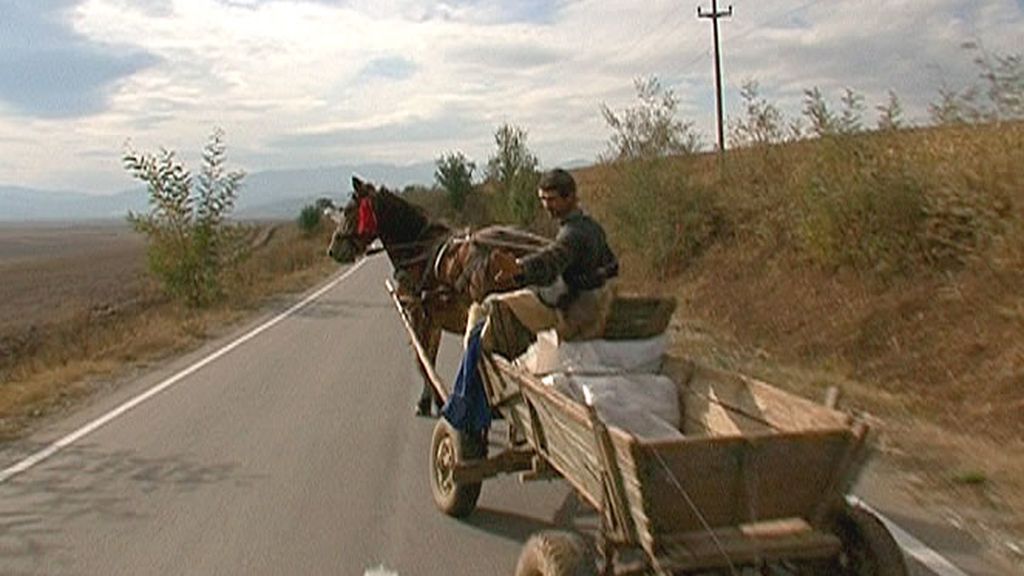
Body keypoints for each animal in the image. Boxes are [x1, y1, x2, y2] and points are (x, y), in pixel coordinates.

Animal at [327, 175, 552, 412]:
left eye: (348, 210)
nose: (332, 250)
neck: (418, 250)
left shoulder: (417, 314)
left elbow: (423, 360)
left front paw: (430, 401)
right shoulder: (434, 320)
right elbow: (430, 357)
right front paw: (434, 398)